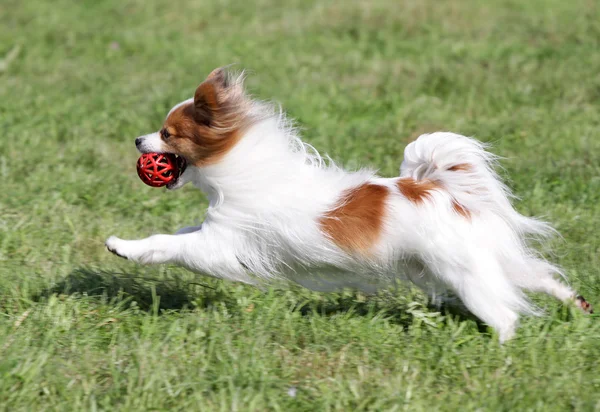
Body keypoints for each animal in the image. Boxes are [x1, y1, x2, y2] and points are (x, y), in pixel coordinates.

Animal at [105, 67, 592, 342]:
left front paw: (123, 246)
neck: (240, 166)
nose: (137, 140)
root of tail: (444, 193)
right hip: (486, 259)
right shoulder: (218, 230)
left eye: (167, 134)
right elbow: (181, 232)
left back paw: (502, 349)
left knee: (505, 313)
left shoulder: (225, 243)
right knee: (540, 277)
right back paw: (576, 303)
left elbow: (170, 243)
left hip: (465, 272)